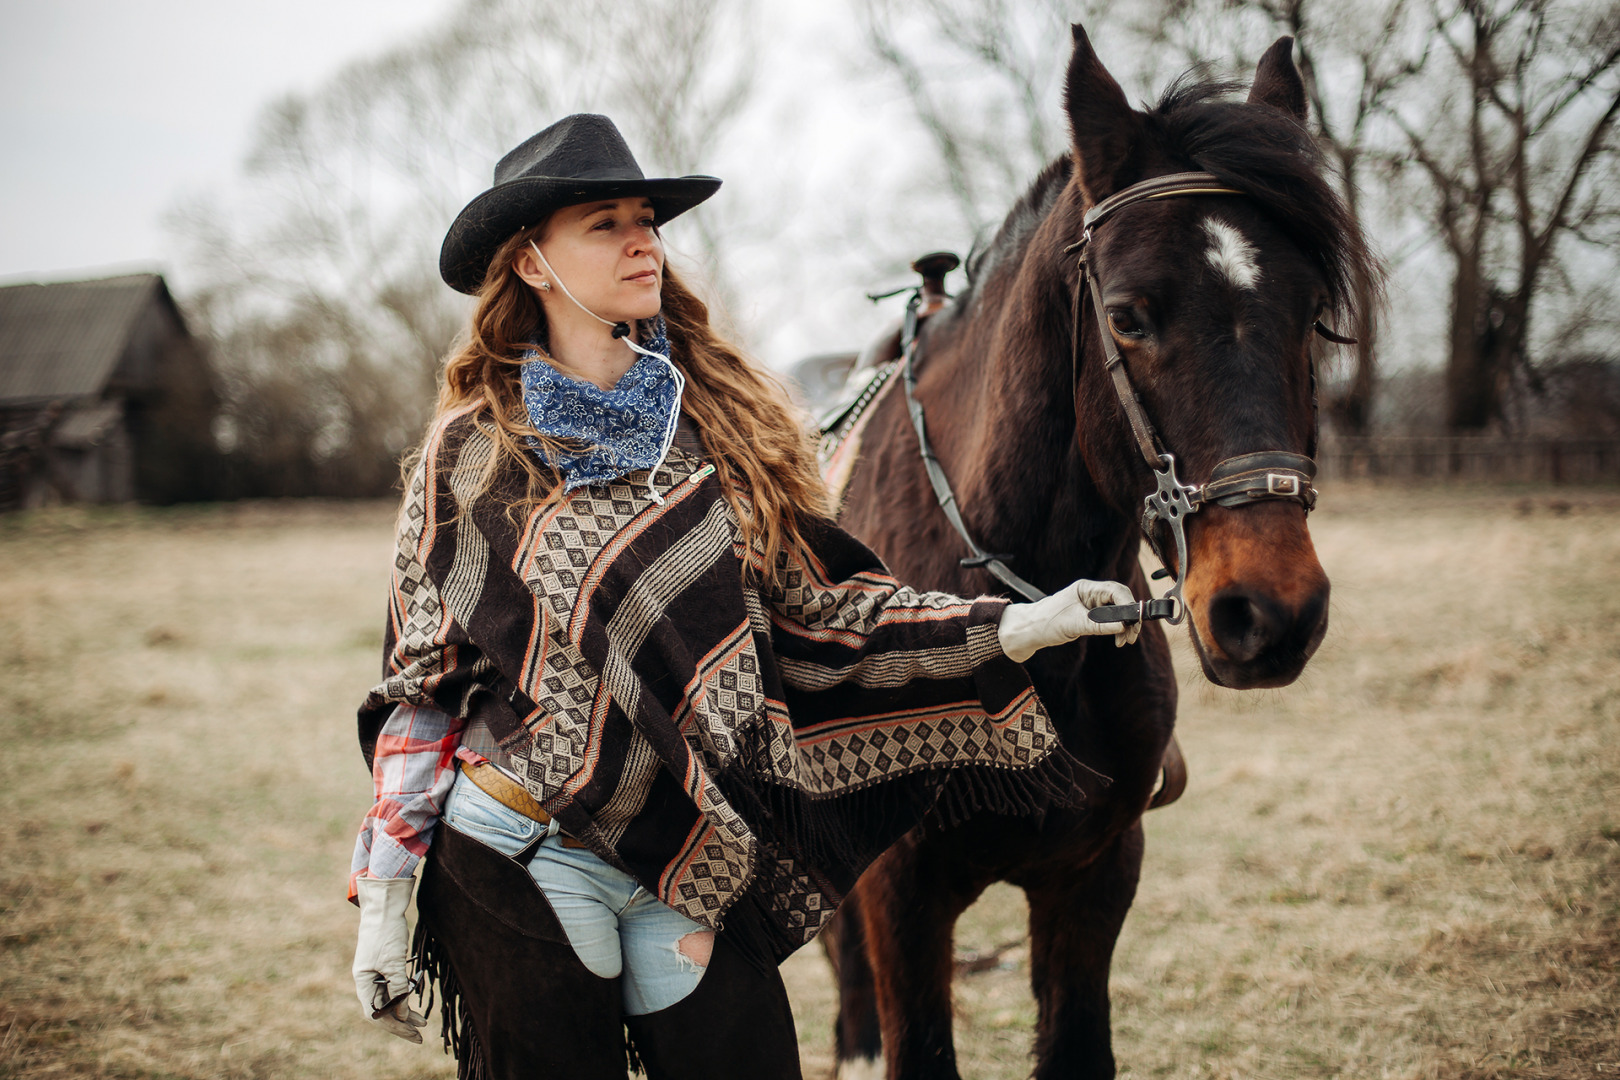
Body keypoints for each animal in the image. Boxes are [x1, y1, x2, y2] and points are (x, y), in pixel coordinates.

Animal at [822, 25, 1367, 1080]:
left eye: (1314, 311)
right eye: (1127, 317)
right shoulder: (902, 895)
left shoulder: (1096, 875)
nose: (1270, 610)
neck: (1019, 633)